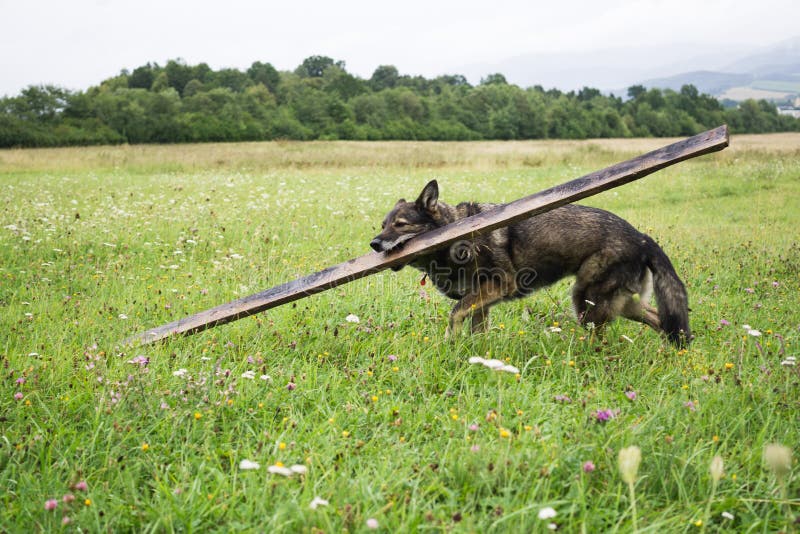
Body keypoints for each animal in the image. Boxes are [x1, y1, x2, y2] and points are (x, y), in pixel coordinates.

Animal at [372, 180, 692, 348]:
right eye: (383, 225)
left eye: (400, 225)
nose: (374, 244)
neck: (454, 232)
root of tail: (642, 238)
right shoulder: (481, 304)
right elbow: (475, 329)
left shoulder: (497, 286)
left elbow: (454, 314)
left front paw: (449, 344)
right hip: (619, 302)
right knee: (660, 319)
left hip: (587, 300)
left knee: (600, 336)